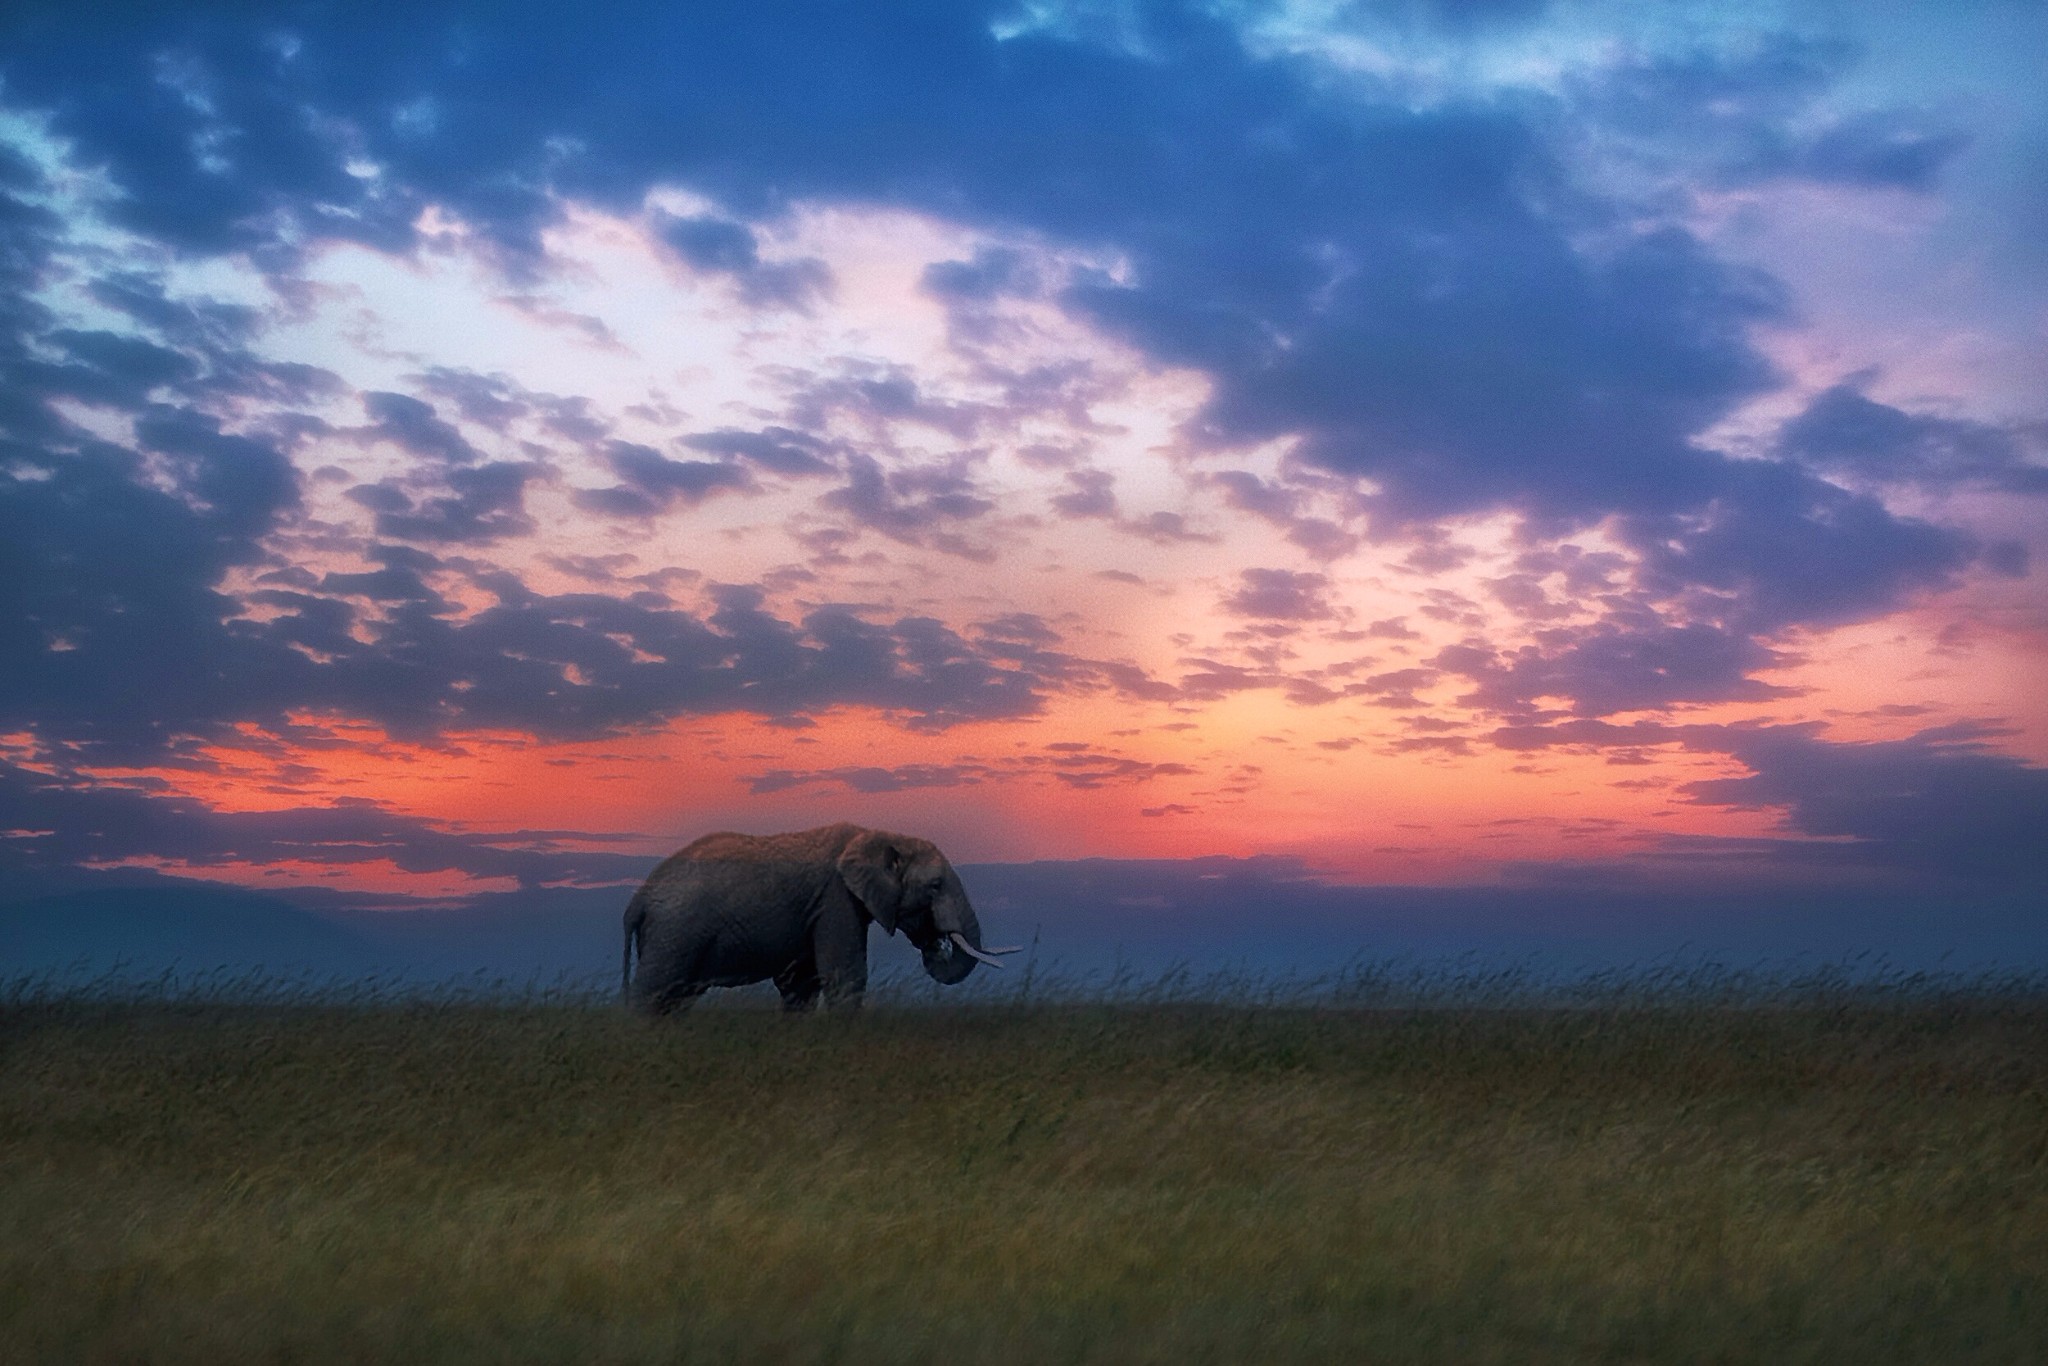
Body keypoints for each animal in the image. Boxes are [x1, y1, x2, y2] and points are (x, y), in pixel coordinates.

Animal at [614, 823, 1015, 1015]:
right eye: (934, 886)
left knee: (677, 999)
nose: (935, 941)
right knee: (654, 993)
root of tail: (636, 902)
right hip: (674, 932)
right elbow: (845, 976)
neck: (877, 835)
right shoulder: (835, 900)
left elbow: (801, 986)